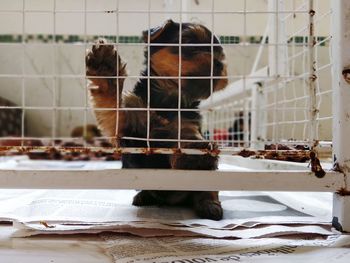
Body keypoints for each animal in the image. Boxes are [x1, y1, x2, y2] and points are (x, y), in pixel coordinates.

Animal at [86, 19, 228, 221]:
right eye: (188, 42)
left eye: (221, 54)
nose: (219, 64)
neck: (168, 99)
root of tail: (174, 200)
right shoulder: (128, 125)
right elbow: (114, 107)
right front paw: (105, 66)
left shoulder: (187, 120)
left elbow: (186, 134)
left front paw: (195, 149)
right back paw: (144, 196)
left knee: (207, 189)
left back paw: (210, 205)